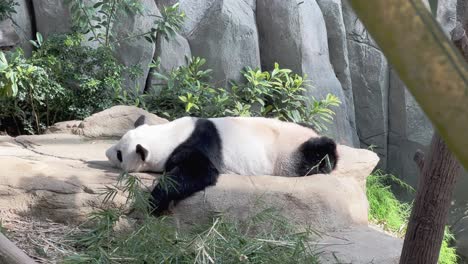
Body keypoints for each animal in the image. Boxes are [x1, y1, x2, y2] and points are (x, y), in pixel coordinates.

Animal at [106, 115, 338, 217]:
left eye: (119, 154)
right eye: (118, 145)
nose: (107, 153)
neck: (168, 135)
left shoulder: (200, 144)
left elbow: (199, 172)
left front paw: (155, 203)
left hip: (289, 154)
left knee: (317, 153)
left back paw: (327, 156)